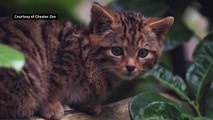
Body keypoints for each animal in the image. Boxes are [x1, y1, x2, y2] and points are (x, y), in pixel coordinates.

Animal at [0, 1, 173, 119]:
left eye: (142, 53)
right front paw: (49, 105)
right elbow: (53, 83)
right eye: (116, 51)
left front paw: (87, 103)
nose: (130, 67)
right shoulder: (67, 53)